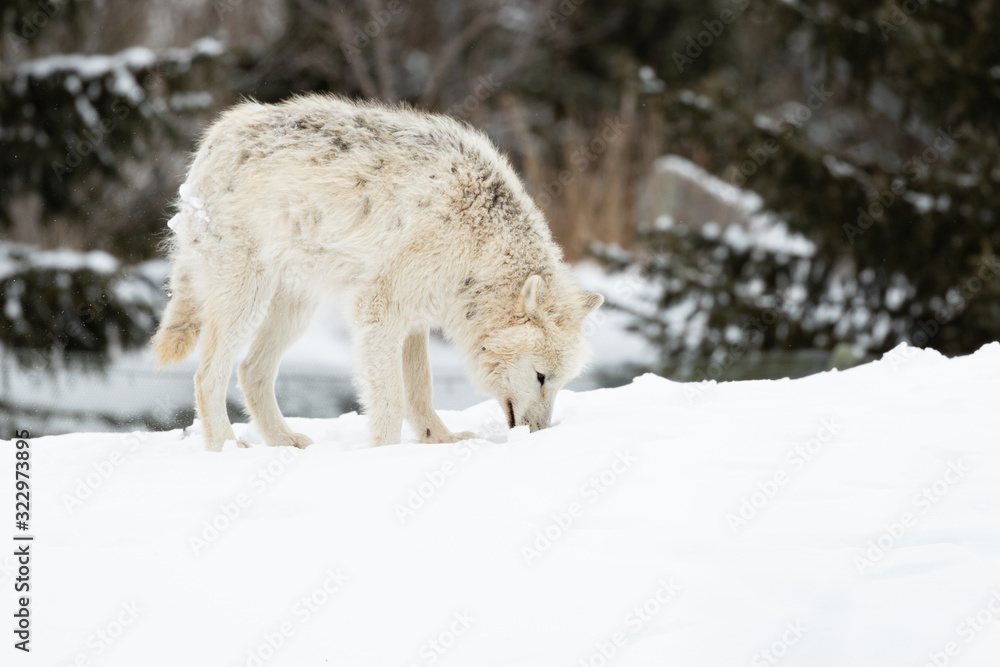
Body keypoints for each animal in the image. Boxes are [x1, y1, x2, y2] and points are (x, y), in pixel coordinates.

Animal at [152, 94, 603, 451]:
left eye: (560, 382)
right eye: (541, 376)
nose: (539, 434)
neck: (478, 239)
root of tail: (212, 141)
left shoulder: (415, 318)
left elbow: (420, 389)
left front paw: (440, 439)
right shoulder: (381, 309)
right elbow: (391, 399)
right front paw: (384, 456)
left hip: (297, 310)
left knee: (250, 371)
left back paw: (284, 441)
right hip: (246, 300)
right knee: (207, 375)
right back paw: (225, 446)